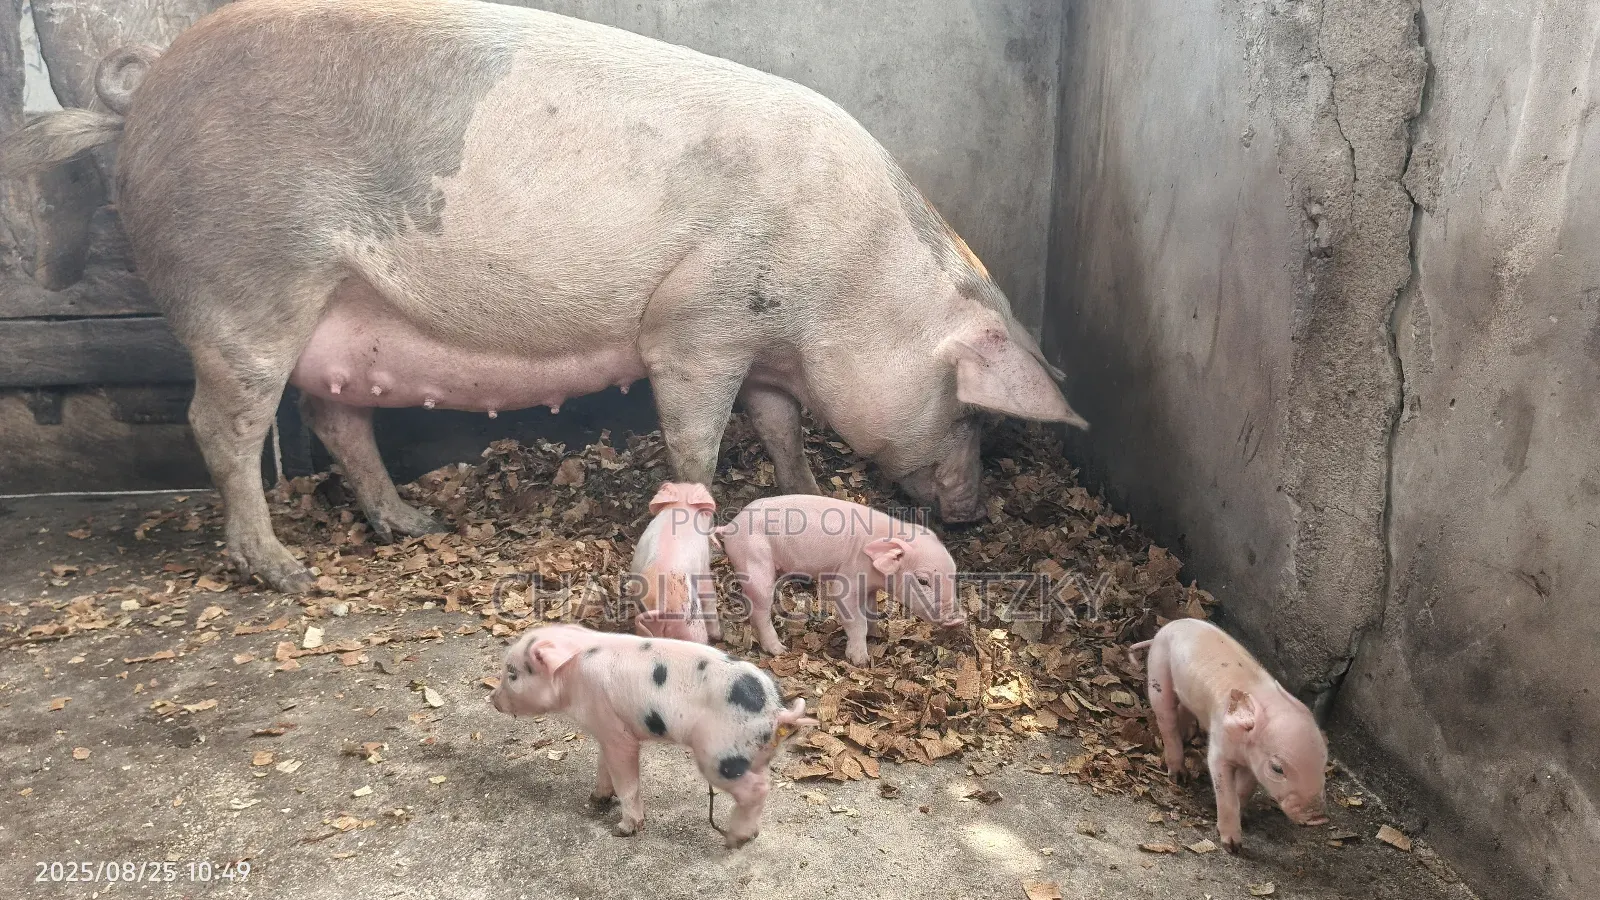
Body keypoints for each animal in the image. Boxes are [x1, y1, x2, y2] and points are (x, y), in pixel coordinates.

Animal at [0, 0, 1087, 595]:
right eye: (973, 412)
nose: (976, 509)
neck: (854, 275)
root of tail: (135, 104)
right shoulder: (696, 323)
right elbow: (697, 435)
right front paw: (705, 515)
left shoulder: (761, 339)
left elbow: (780, 426)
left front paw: (798, 483)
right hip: (244, 287)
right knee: (220, 427)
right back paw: (286, 572)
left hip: (341, 314)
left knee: (338, 419)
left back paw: (413, 526)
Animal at [488, 623, 816, 847]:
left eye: (513, 673)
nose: (492, 699)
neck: (572, 677)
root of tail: (777, 711)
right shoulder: (606, 729)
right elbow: (603, 766)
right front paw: (596, 799)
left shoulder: (618, 734)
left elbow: (627, 782)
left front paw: (623, 829)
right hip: (750, 753)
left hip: (720, 755)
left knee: (757, 789)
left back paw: (734, 840)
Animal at [717, 495, 964, 666]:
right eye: (923, 581)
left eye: (954, 573)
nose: (958, 619)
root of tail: (729, 527)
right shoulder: (849, 577)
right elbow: (854, 617)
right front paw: (861, 660)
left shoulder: (869, 587)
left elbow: (871, 611)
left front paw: (876, 634)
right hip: (755, 561)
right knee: (759, 609)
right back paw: (780, 650)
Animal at [1131, 618, 1330, 852]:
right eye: (1277, 768)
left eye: (1324, 766)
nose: (1319, 818)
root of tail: (1171, 625)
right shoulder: (1219, 748)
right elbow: (1225, 792)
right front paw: (1232, 847)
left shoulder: (1254, 764)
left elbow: (1243, 790)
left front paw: (1243, 819)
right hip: (1158, 671)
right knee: (1167, 719)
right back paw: (1179, 777)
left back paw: (1187, 736)